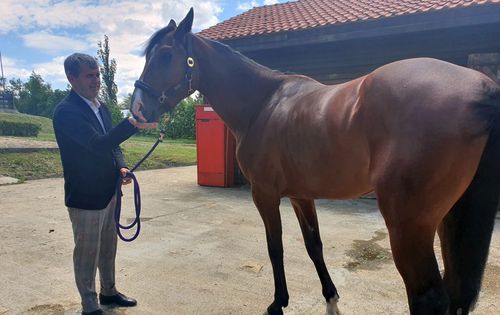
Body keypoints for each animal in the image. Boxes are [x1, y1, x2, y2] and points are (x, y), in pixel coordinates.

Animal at [132, 8, 500, 314]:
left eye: (166, 54)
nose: (137, 109)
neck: (263, 104)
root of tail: (482, 87)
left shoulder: (264, 194)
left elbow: (275, 247)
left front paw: (278, 302)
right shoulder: (300, 195)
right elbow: (314, 245)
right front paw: (330, 295)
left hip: (409, 225)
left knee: (429, 297)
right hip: (450, 218)